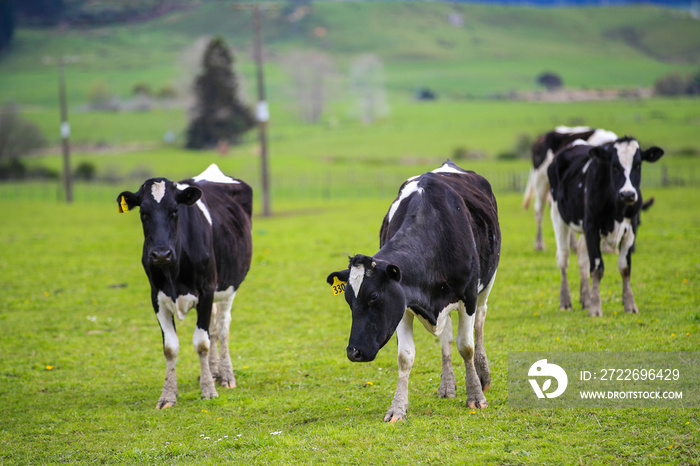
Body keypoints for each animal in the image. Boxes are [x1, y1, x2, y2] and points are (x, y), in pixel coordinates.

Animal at [116, 164, 253, 408]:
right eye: (143, 213)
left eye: (174, 211)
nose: (161, 253)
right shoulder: (157, 297)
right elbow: (170, 347)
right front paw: (168, 395)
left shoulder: (206, 291)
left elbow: (201, 343)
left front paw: (208, 390)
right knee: (214, 329)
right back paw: (214, 371)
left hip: (228, 286)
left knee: (223, 327)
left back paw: (226, 375)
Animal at [548, 136, 660, 316]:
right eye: (614, 166)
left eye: (638, 165)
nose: (628, 194)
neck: (617, 209)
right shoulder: (592, 228)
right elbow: (597, 267)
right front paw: (595, 308)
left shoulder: (631, 229)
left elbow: (625, 267)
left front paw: (630, 305)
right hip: (557, 215)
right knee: (563, 258)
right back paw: (565, 301)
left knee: (582, 257)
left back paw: (585, 299)